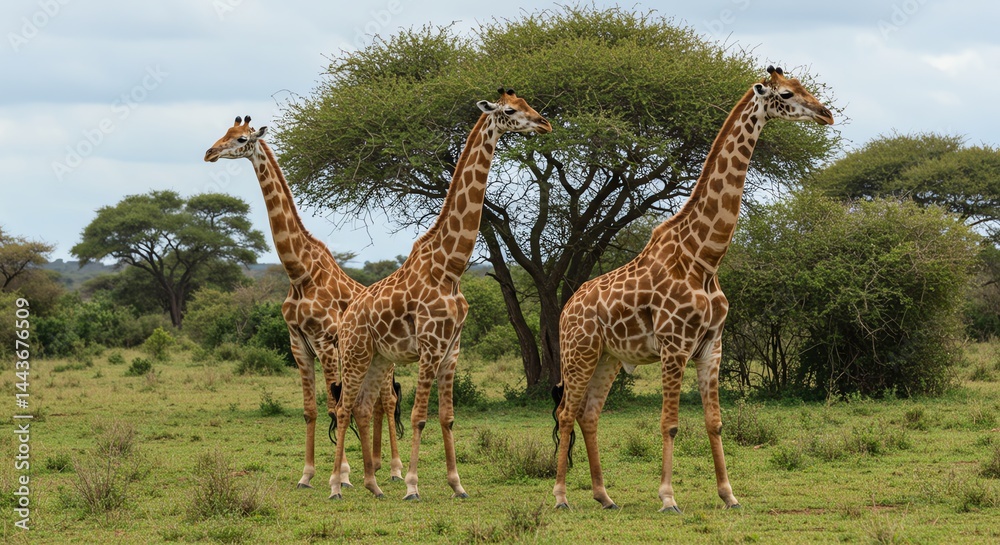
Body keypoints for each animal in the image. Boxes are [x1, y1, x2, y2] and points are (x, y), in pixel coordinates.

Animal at [204, 116, 404, 490]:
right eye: (223, 133)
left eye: (240, 139)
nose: (209, 152)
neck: (300, 273)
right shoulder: (298, 343)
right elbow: (311, 410)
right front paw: (307, 474)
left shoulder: (325, 343)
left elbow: (334, 406)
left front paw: (342, 475)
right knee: (374, 403)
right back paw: (376, 464)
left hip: (383, 359)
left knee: (388, 399)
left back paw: (396, 469)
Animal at [328, 89, 552, 500]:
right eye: (509, 110)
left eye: (528, 104)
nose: (544, 123)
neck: (451, 268)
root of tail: (344, 319)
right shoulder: (430, 347)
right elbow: (419, 417)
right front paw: (412, 486)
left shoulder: (452, 350)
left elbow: (447, 417)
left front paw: (457, 484)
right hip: (354, 354)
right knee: (344, 408)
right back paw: (337, 485)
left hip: (380, 359)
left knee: (363, 408)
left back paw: (373, 485)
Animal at [552, 67, 834, 512]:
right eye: (787, 93)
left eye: (804, 87)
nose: (826, 114)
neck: (705, 257)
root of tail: (566, 308)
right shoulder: (674, 345)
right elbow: (669, 423)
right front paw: (668, 498)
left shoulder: (711, 346)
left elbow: (715, 423)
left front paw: (729, 494)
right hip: (578, 351)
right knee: (566, 413)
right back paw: (561, 496)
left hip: (609, 357)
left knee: (589, 414)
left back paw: (604, 495)